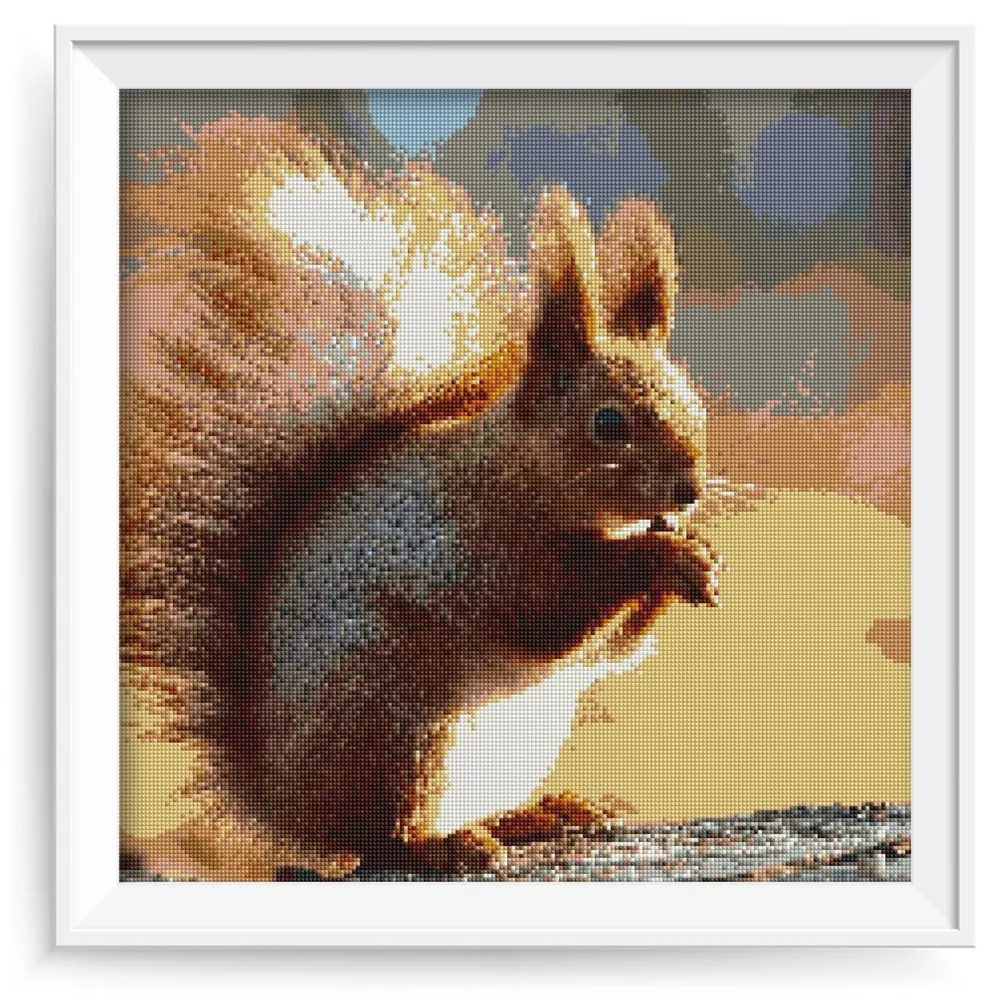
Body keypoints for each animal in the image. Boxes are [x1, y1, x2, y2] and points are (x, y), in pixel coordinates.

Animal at [120, 113, 720, 879]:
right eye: (608, 422)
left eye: (693, 402)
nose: (689, 491)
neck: (518, 471)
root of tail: (285, 804)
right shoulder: (469, 542)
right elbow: (544, 606)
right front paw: (662, 556)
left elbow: (608, 651)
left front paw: (695, 552)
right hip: (397, 712)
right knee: (379, 836)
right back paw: (445, 843)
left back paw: (540, 812)